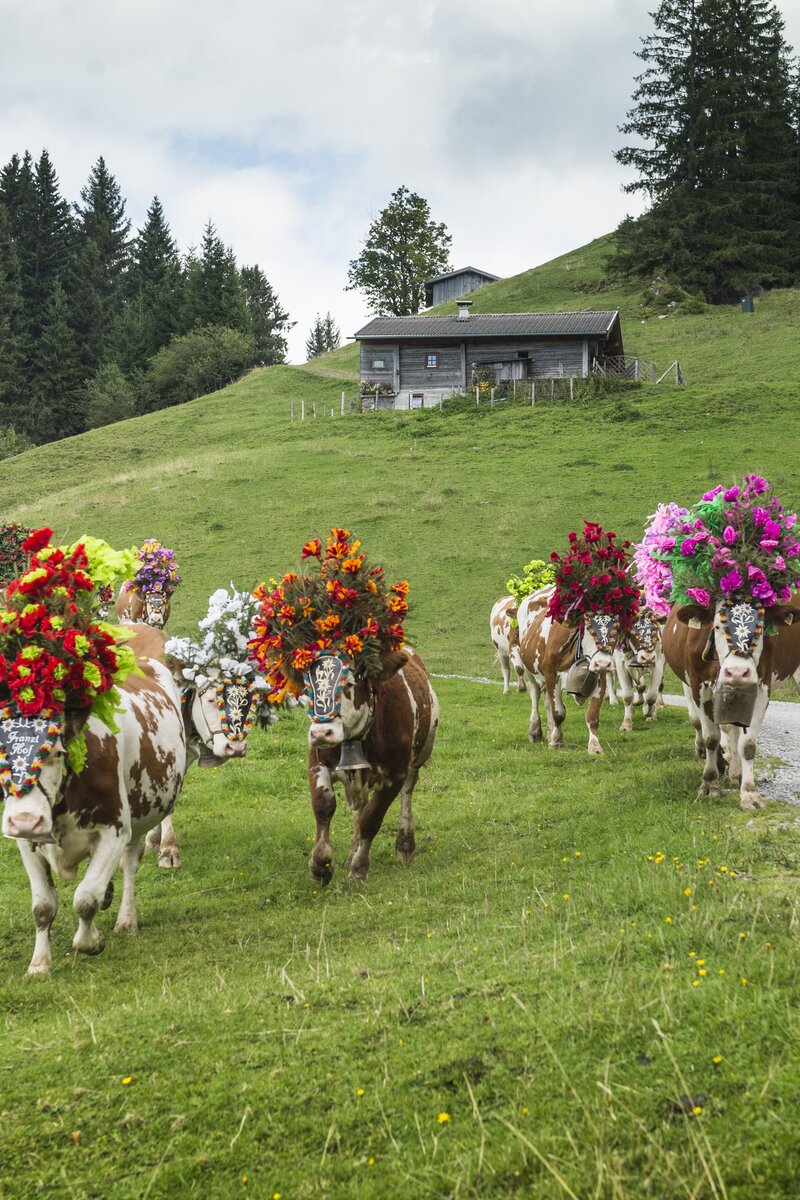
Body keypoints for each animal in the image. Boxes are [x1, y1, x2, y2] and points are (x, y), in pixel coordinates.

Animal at [2, 628, 185, 974]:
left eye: (58, 752)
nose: (25, 821)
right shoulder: (26, 844)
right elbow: (42, 907)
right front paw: (39, 964)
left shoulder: (113, 831)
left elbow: (86, 899)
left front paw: (91, 941)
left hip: (137, 818)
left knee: (129, 864)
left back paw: (126, 919)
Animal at [302, 648, 438, 883]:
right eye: (308, 686)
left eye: (348, 684)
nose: (320, 733)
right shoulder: (317, 762)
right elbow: (323, 805)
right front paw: (321, 864)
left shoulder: (396, 774)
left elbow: (371, 819)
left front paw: (359, 869)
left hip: (418, 758)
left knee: (407, 794)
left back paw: (405, 843)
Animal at [520, 604, 623, 753]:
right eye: (587, 627)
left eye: (616, 628)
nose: (603, 663)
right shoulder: (551, 675)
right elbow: (559, 712)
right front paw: (556, 741)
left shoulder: (600, 677)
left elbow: (592, 715)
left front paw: (595, 746)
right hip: (531, 672)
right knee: (535, 695)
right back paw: (535, 731)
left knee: (547, 702)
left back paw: (549, 732)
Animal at [662, 597, 800, 811]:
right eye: (717, 626)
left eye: (760, 626)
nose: (737, 672)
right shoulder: (699, 685)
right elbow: (711, 737)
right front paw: (710, 783)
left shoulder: (761, 687)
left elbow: (748, 744)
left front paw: (749, 793)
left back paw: (736, 772)